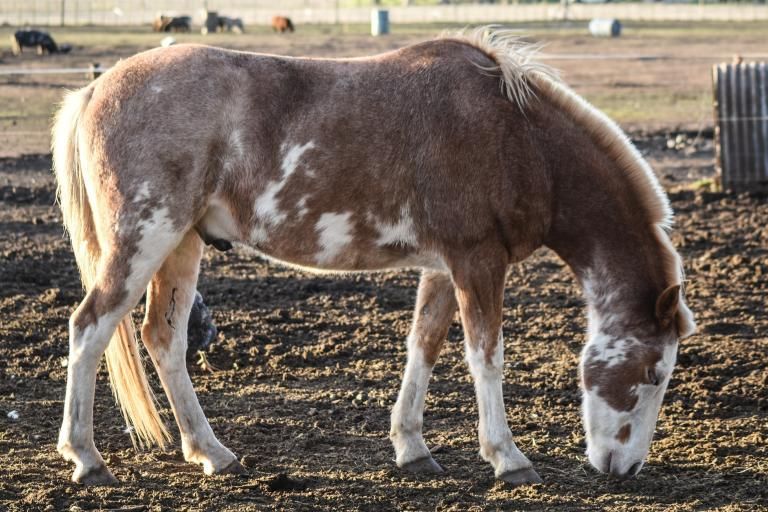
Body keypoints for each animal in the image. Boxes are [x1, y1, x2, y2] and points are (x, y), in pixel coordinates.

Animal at [51, 28, 696, 486]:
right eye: (656, 372)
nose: (626, 468)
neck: (517, 138)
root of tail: (96, 88)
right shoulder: (478, 263)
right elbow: (485, 358)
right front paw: (508, 458)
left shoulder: (445, 267)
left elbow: (424, 347)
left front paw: (412, 448)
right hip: (144, 240)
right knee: (90, 327)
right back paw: (87, 459)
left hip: (181, 245)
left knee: (163, 339)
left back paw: (211, 452)